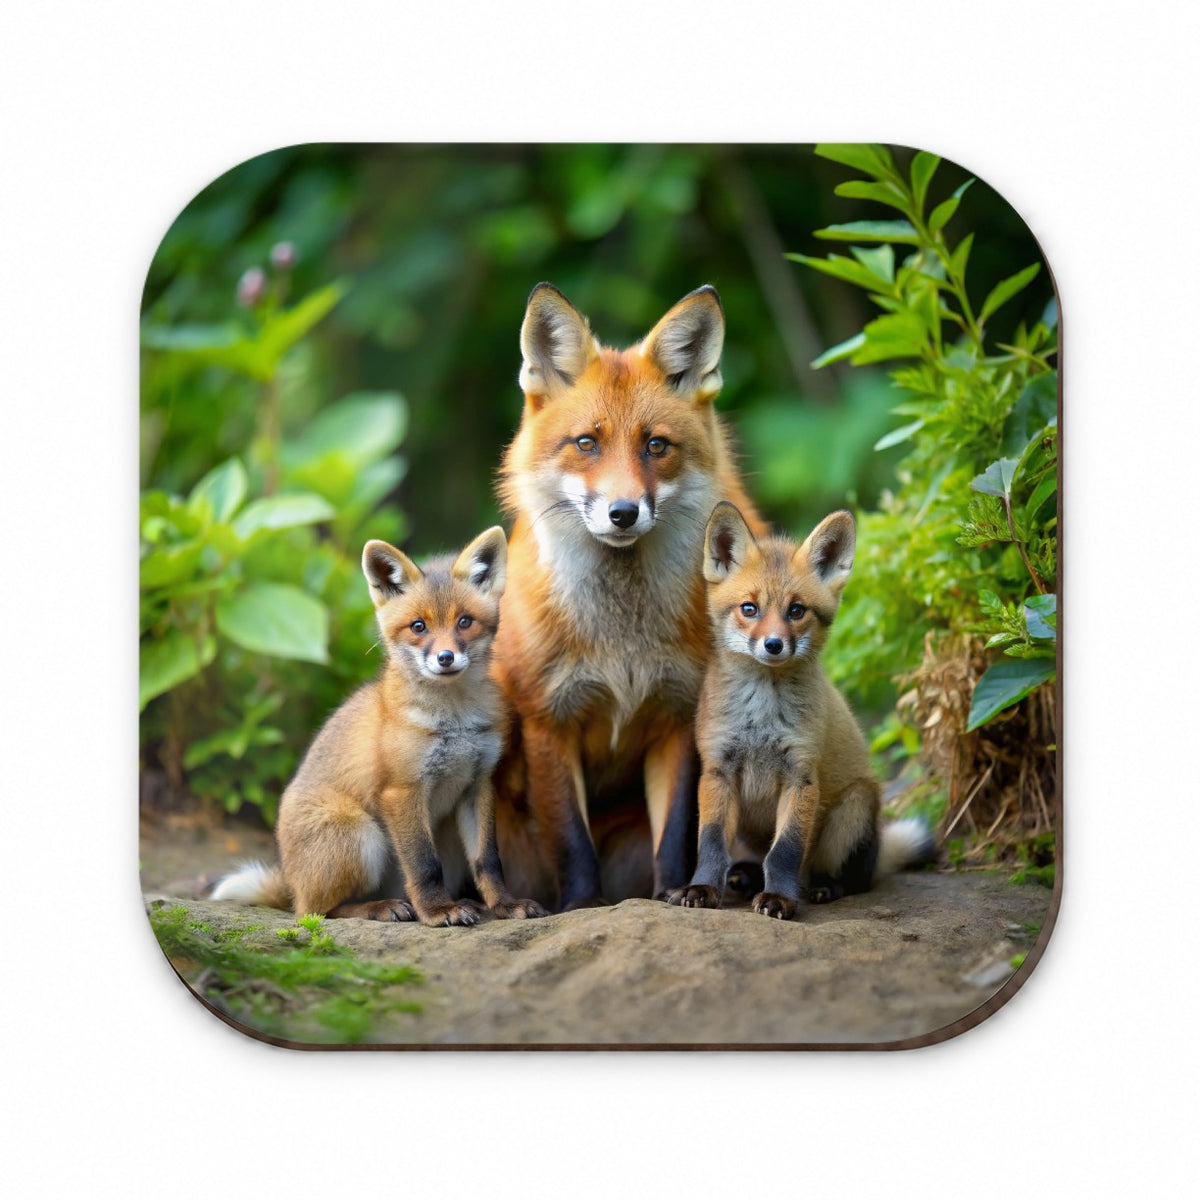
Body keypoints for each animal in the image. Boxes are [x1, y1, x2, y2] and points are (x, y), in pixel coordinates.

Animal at [212, 526, 546, 927]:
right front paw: (437, 912)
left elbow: (489, 861)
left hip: (443, 837)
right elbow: (423, 865)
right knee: (317, 912)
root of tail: (291, 880)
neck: (454, 722)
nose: (445, 658)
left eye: (464, 622)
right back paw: (382, 907)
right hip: (361, 836)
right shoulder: (402, 790)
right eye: (419, 626)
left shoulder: (477, 785)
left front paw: (504, 906)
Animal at [491, 283, 766, 911]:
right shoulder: (548, 719)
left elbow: (678, 830)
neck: (622, 640)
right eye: (587, 443)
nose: (623, 512)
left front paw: (672, 894)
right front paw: (579, 907)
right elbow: (571, 840)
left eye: (656, 446)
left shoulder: (679, 716)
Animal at [666, 502, 935, 920]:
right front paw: (702, 889)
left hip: (854, 808)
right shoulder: (717, 770)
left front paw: (779, 899)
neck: (761, 716)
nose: (774, 645)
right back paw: (746, 877)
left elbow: (786, 851)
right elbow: (710, 844)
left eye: (796, 611)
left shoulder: (801, 775)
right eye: (749, 608)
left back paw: (823, 886)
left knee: (851, 878)